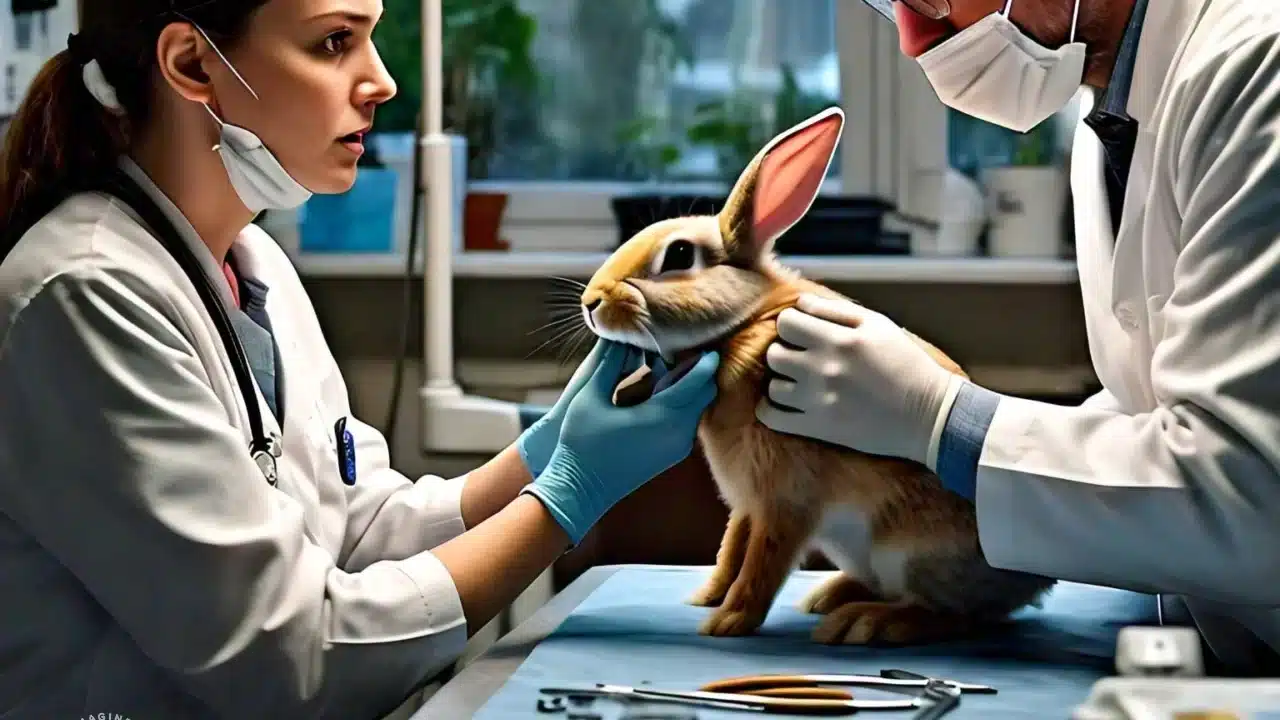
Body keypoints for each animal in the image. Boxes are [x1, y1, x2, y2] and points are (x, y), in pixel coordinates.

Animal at [578, 107, 1049, 645]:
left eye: (679, 256)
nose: (591, 302)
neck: (743, 324)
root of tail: (1032, 584)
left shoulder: (785, 498)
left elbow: (763, 561)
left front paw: (727, 622)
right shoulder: (748, 502)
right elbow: (733, 548)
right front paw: (708, 597)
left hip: (908, 553)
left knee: (957, 616)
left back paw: (866, 622)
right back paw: (830, 597)